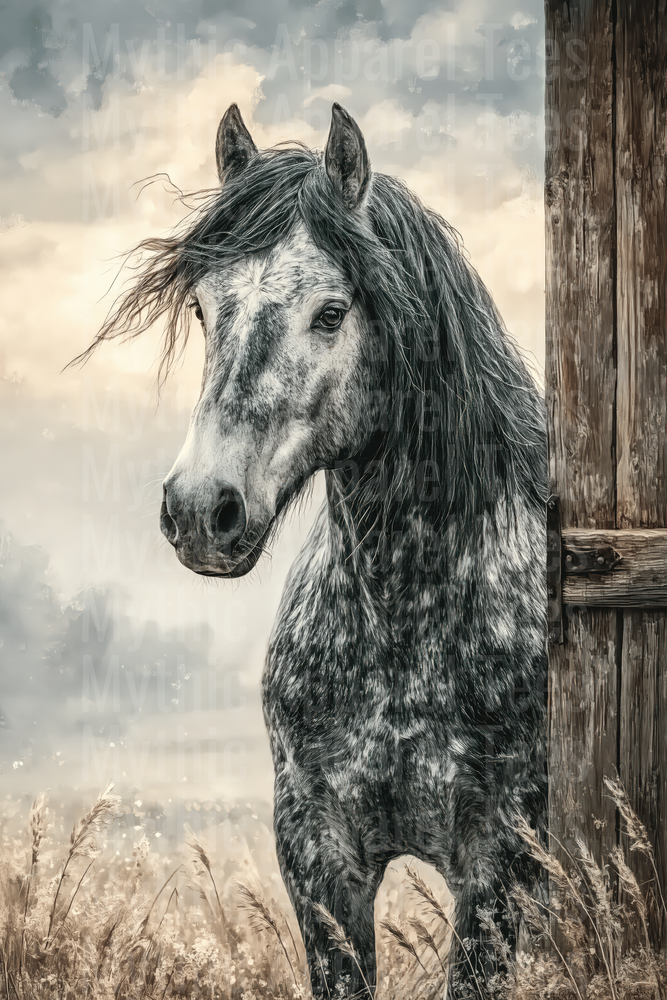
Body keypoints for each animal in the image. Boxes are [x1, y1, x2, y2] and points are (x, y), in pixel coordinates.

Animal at [81, 102, 548, 998]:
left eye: (331, 313)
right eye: (204, 311)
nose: (201, 509)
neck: (407, 624)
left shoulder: (498, 866)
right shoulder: (318, 857)